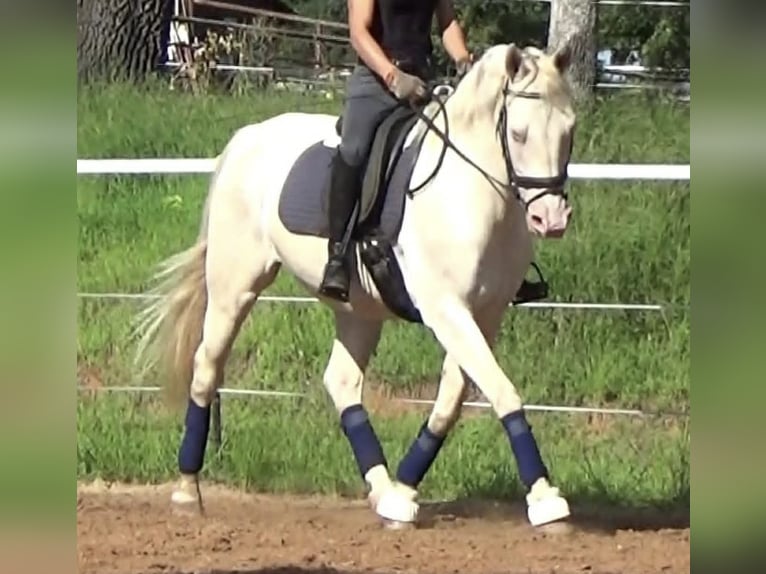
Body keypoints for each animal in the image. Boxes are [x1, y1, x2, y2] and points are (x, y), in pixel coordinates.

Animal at [134, 42, 578, 530]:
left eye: (569, 131)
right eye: (518, 134)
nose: (551, 219)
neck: (471, 194)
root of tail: (248, 137)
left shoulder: (485, 314)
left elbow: (452, 401)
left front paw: (403, 494)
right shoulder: (447, 310)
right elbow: (501, 390)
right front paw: (546, 499)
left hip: (358, 309)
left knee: (342, 381)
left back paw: (382, 492)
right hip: (236, 286)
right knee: (207, 367)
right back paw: (186, 491)